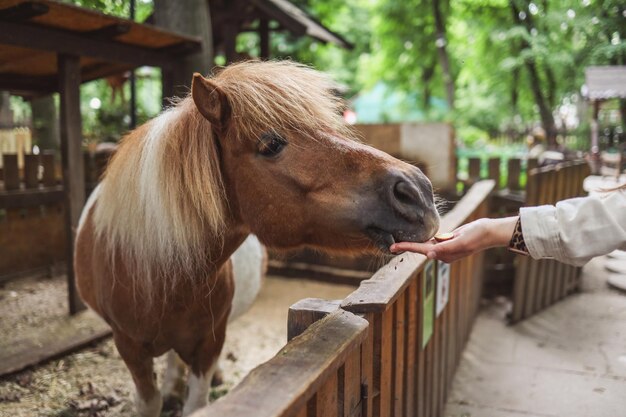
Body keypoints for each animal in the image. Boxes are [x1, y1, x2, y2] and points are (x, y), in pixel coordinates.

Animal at [74, 60, 438, 414]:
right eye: (271, 144)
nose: (417, 191)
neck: (160, 280)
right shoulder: (129, 347)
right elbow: (149, 402)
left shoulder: (208, 344)